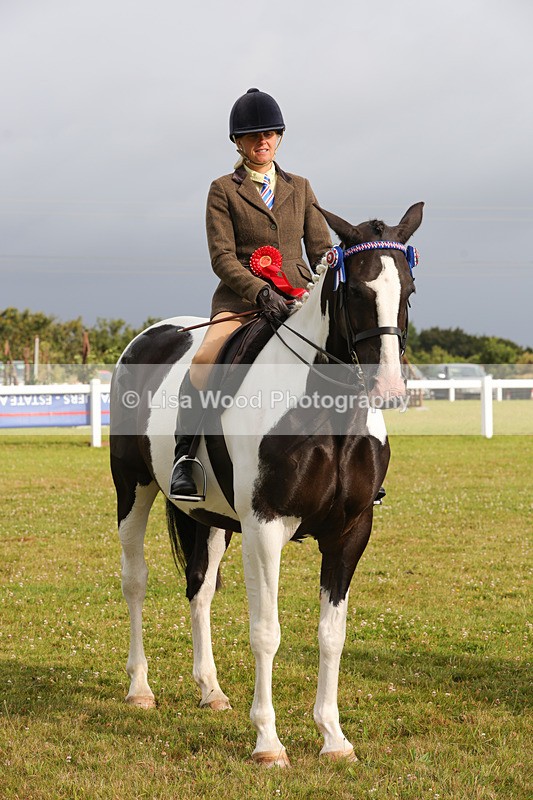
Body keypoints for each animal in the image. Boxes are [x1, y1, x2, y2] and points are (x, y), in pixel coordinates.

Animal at [110, 201, 424, 767]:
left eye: (407, 290)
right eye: (356, 290)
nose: (389, 389)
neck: (325, 413)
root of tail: (151, 334)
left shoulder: (350, 532)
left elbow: (331, 635)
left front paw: (333, 737)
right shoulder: (265, 527)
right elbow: (266, 632)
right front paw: (268, 743)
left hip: (211, 518)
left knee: (200, 588)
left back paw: (210, 691)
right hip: (133, 489)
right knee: (136, 581)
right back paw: (140, 688)